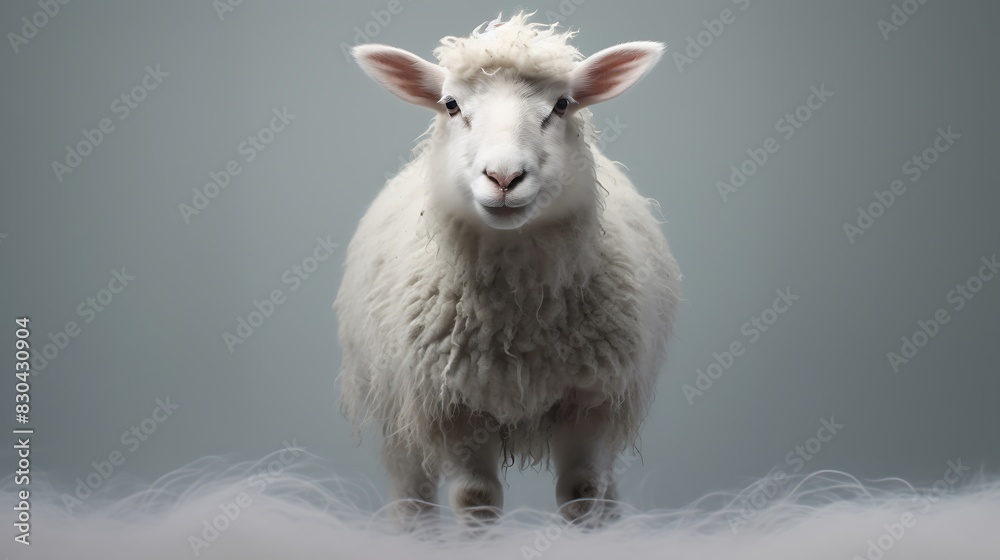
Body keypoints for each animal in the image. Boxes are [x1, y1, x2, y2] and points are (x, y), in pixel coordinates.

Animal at [335, 12, 680, 526]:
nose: (503, 178)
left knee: (608, 493)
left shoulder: (593, 401)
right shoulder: (452, 407)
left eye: (562, 104)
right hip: (394, 404)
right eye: (451, 105)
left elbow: (583, 493)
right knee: (411, 492)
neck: (519, 322)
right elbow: (474, 499)